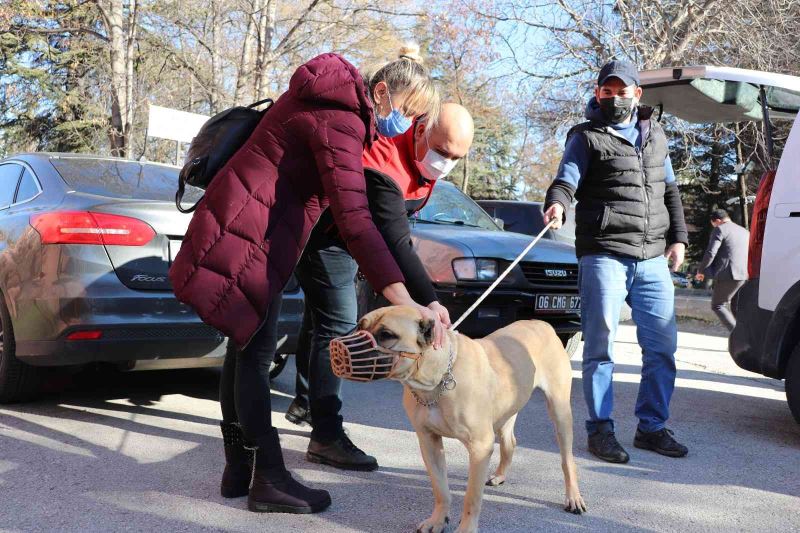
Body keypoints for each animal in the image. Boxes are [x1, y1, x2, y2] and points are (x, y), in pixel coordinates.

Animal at [358, 306, 588, 528]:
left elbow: (471, 498)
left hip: (560, 412)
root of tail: (542, 323)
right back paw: (499, 475)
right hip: (507, 410)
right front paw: (438, 520)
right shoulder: (429, 442)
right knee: (509, 442)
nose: (355, 338)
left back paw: (573, 497)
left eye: (386, 334)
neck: (437, 381)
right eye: (360, 325)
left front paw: (466, 527)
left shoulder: (480, 448)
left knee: (567, 460)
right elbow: (440, 489)